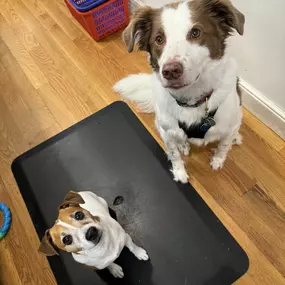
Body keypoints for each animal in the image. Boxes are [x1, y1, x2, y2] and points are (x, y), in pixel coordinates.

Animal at [113, 0, 244, 182]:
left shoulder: (229, 124)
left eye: (196, 32)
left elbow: (223, 146)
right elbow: (174, 155)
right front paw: (180, 173)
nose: (170, 71)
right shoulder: (166, 132)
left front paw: (218, 160)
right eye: (159, 39)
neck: (191, 100)